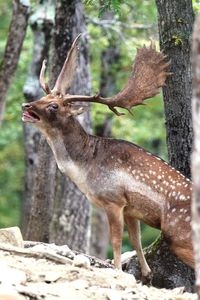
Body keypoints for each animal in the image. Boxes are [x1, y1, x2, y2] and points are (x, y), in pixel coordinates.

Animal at [21, 35, 194, 278]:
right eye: (43, 96)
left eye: (54, 105)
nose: (26, 105)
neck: (86, 170)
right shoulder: (131, 209)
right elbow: (137, 242)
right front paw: (146, 274)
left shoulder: (114, 199)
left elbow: (116, 242)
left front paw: (117, 270)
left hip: (178, 233)